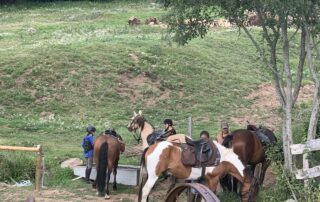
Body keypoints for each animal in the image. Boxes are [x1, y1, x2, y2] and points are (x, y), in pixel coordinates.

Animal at [126, 111, 254, 201]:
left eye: (134, 120)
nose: (128, 127)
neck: (222, 158)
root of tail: (151, 147)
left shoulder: (206, 181)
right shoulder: (213, 180)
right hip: (153, 176)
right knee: (145, 191)